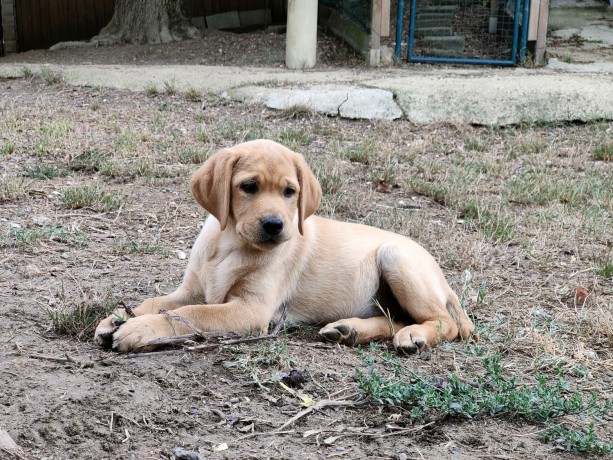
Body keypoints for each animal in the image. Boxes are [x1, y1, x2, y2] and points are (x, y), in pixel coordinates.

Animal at [95, 139, 474, 352]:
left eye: (290, 192)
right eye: (249, 186)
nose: (275, 225)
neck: (230, 245)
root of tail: (446, 284)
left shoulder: (251, 310)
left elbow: (189, 314)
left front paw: (139, 329)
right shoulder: (192, 289)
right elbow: (157, 302)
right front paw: (115, 318)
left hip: (396, 258)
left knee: (445, 322)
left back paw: (414, 336)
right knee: (394, 319)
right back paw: (347, 331)